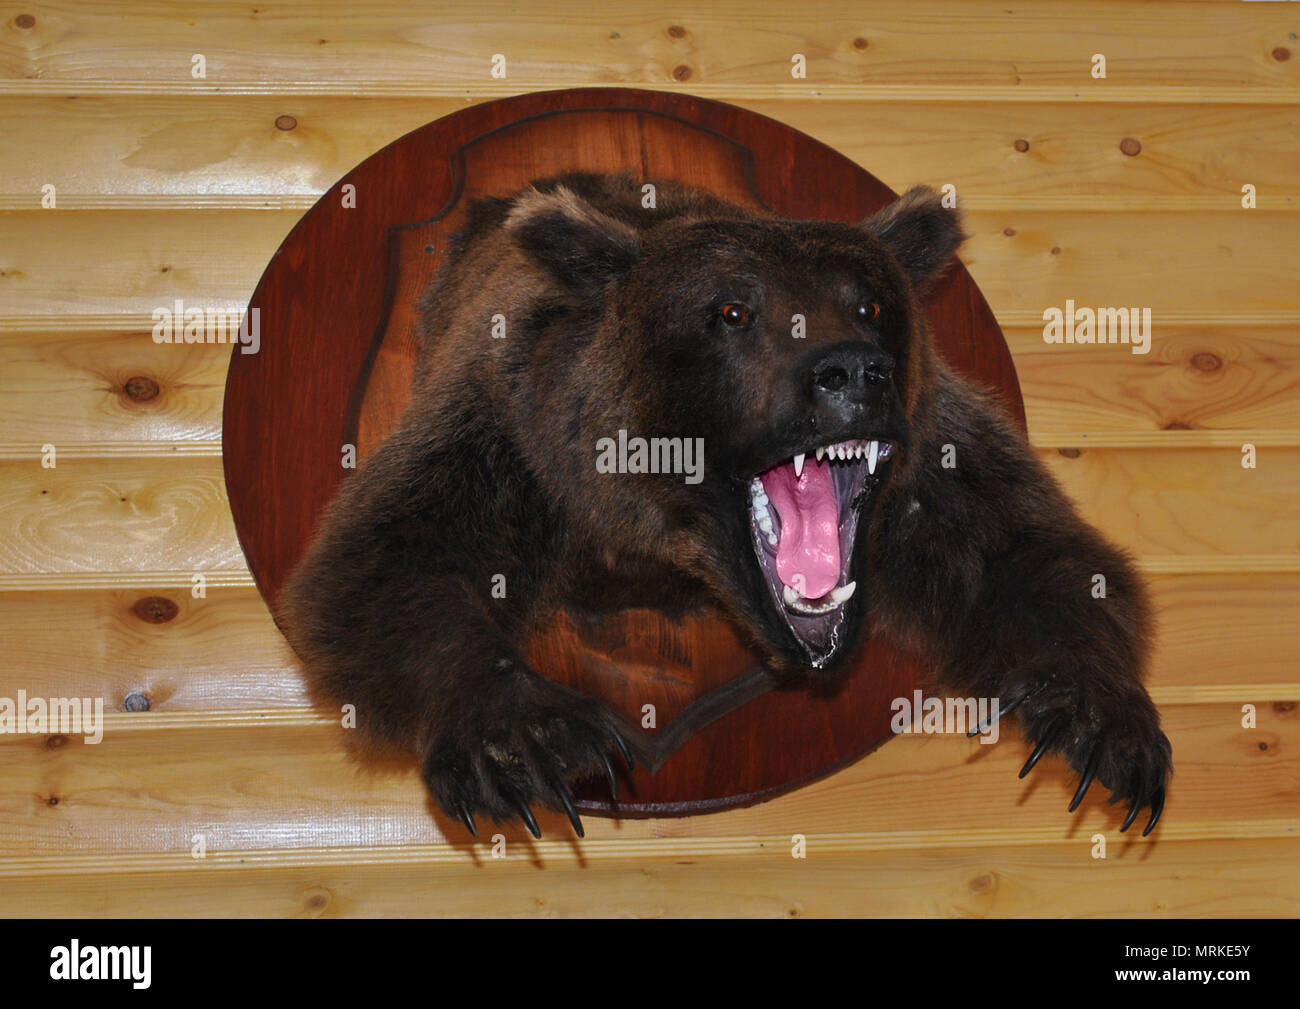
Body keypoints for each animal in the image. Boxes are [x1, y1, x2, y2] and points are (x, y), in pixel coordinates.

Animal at [279, 171, 1175, 837]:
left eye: (870, 302)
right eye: (733, 310)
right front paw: (526, 737)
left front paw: (1098, 715)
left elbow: (1029, 552)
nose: (851, 372)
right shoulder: (504, 432)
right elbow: (389, 561)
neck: (657, 543)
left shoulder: (936, 465)